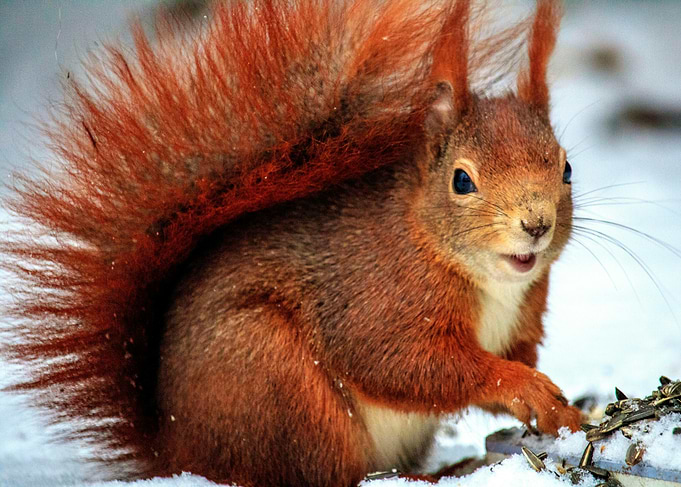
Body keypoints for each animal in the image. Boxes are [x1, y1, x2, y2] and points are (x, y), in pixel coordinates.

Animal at [1, 0, 582, 485]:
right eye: (462, 180)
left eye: (566, 168)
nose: (536, 224)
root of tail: (177, 453)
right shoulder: (379, 299)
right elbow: (406, 364)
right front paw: (523, 386)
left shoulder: (522, 318)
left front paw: (564, 411)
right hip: (279, 384)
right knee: (320, 473)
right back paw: (424, 478)